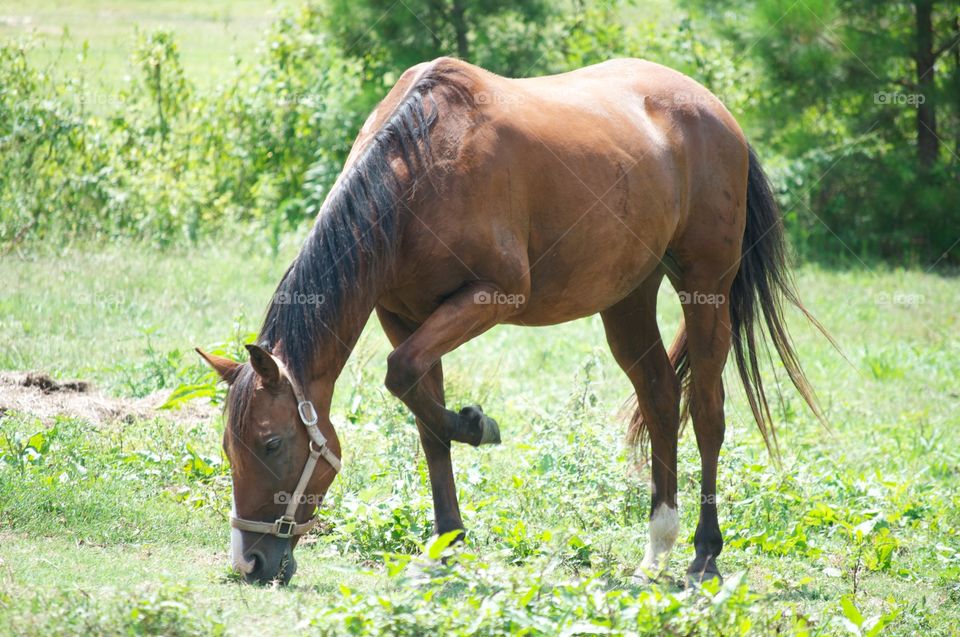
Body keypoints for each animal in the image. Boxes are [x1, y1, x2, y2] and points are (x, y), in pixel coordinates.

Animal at [197, 57, 824, 584]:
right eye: (228, 446)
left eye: (272, 443)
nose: (250, 563)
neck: (420, 166)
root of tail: (717, 111)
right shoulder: (403, 316)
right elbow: (424, 416)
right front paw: (448, 542)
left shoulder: (495, 295)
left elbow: (402, 376)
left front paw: (477, 426)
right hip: (627, 298)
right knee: (661, 399)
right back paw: (658, 545)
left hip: (705, 288)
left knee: (707, 411)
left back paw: (703, 553)